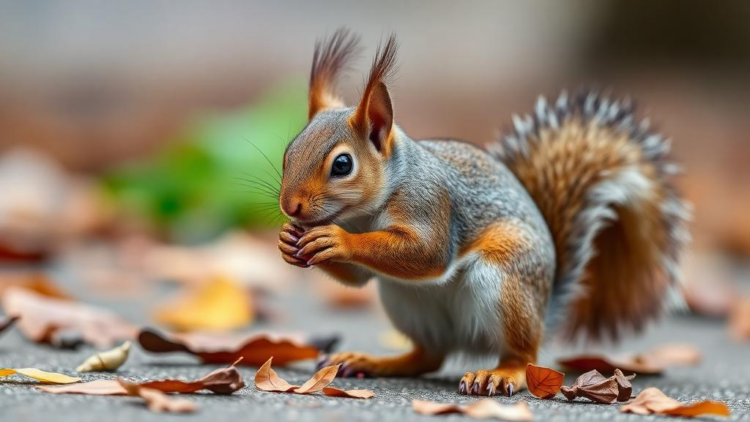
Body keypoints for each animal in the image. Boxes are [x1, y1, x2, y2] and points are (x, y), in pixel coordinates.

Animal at [277, 29, 690, 397]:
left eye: (342, 164)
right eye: (288, 152)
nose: (289, 206)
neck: (367, 211)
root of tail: (543, 310)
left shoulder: (431, 203)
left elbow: (427, 253)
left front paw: (337, 239)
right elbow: (359, 278)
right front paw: (288, 239)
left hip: (504, 281)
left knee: (522, 356)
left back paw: (500, 374)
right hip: (405, 300)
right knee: (429, 355)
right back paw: (372, 361)